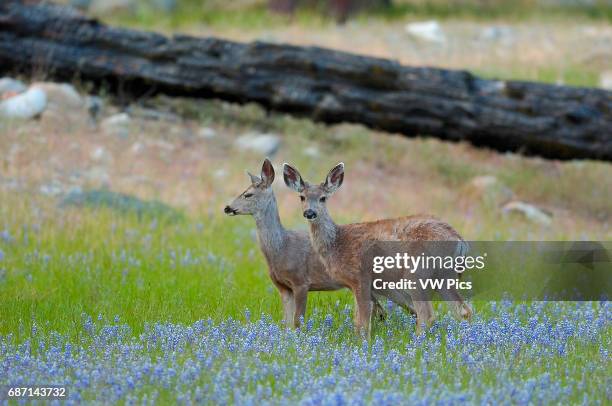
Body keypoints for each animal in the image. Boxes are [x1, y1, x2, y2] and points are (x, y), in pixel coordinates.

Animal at [222, 160, 414, 328]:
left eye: (248, 194)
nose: (227, 208)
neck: (281, 248)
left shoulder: (301, 281)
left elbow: (298, 322)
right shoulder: (283, 287)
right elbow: (286, 323)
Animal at [282, 161, 474, 336]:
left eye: (323, 198)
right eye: (302, 197)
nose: (310, 213)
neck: (337, 242)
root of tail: (460, 240)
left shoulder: (360, 277)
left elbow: (364, 322)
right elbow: (359, 321)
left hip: (417, 273)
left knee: (426, 315)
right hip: (445, 276)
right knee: (463, 311)